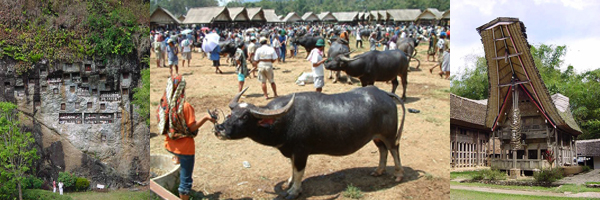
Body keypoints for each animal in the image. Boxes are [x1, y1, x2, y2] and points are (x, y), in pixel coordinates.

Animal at [213, 85, 406, 198]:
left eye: (245, 117)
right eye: (231, 113)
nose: (219, 129)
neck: (284, 122)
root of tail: (384, 94)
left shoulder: (301, 152)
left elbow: (299, 171)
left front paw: (294, 191)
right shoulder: (292, 151)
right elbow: (292, 168)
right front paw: (289, 182)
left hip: (389, 134)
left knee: (394, 149)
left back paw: (398, 174)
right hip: (377, 136)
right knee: (382, 150)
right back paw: (379, 171)